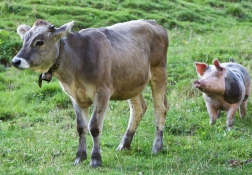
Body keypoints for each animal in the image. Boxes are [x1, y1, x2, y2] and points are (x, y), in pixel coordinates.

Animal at [11, 19, 169, 167]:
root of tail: (152, 22)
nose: (15, 61)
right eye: (24, 39)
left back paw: (157, 147)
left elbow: (94, 126)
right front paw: (79, 157)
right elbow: (81, 127)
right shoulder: (74, 96)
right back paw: (124, 145)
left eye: (39, 42)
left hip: (159, 71)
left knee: (160, 108)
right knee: (138, 108)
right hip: (131, 82)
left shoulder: (102, 92)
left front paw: (95, 159)